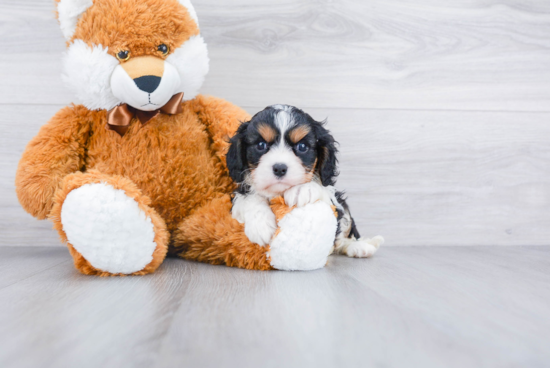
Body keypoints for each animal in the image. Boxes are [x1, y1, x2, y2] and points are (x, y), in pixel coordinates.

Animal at [226, 105, 386, 258]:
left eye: (302, 147)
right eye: (261, 145)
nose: (280, 168)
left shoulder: (332, 199)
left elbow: (321, 188)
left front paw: (302, 189)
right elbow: (249, 197)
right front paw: (261, 225)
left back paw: (360, 248)